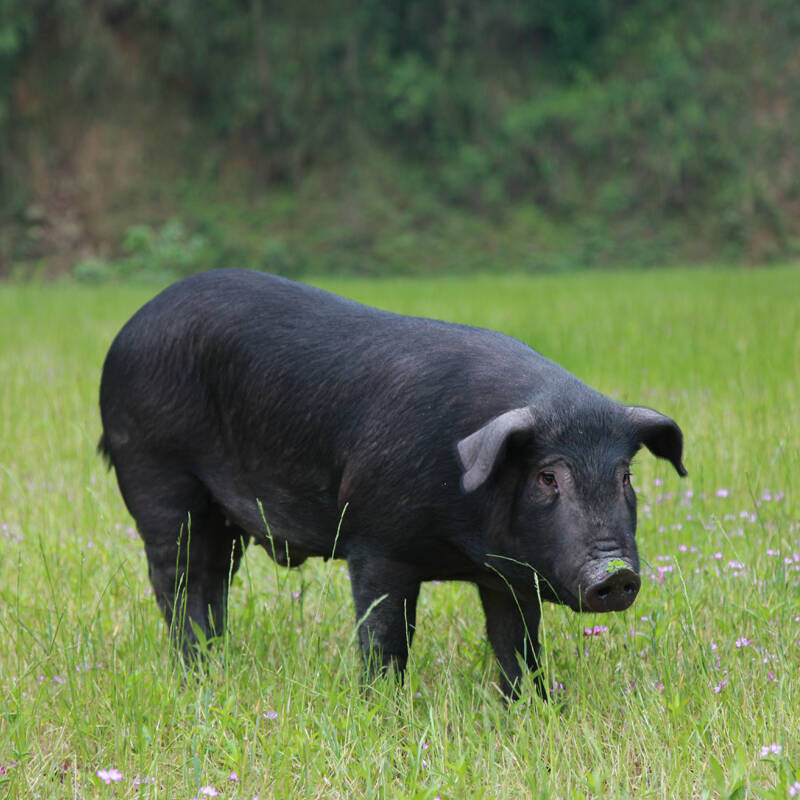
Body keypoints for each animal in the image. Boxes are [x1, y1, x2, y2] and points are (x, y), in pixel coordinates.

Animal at [98, 268, 688, 692]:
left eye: (625, 476)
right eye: (547, 477)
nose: (615, 572)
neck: (461, 545)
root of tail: (129, 328)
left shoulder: (507, 575)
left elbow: (517, 643)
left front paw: (532, 706)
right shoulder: (374, 541)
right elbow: (385, 637)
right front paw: (381, 705)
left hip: (223, 517)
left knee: (213, 581)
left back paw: (219, 662)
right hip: (154, 472)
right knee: (175, 580)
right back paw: (194, 673)